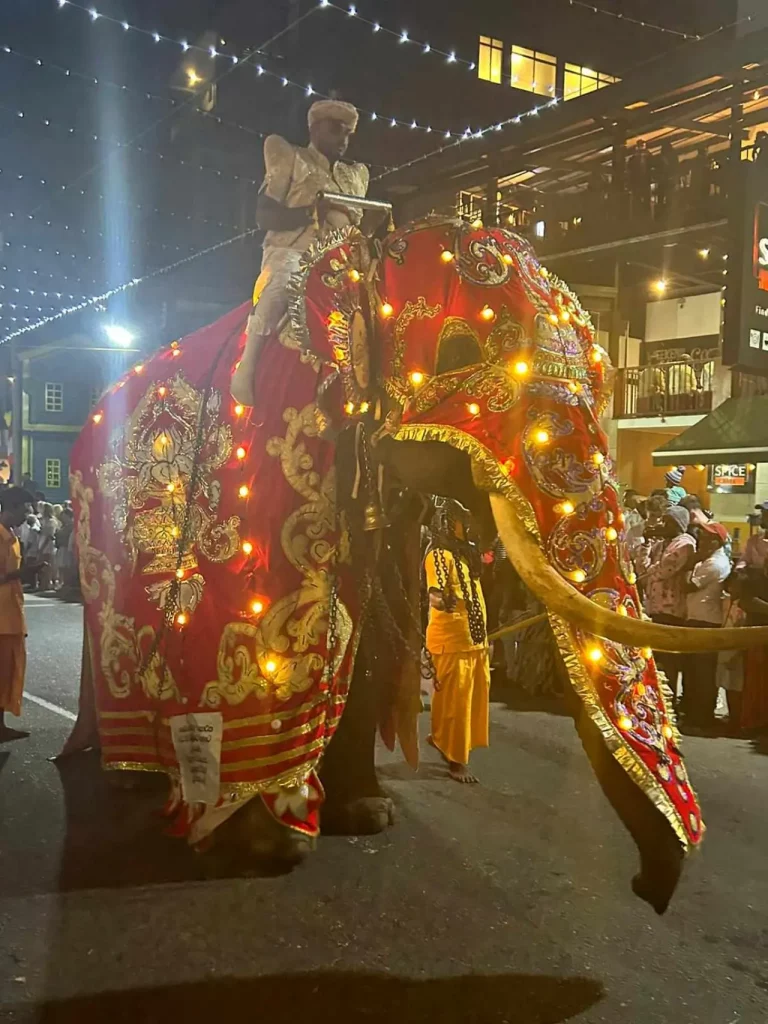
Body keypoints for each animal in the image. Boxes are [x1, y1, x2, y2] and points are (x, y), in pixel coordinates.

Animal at [70, 216, 768, 913]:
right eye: (457, 356)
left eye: (602, 382)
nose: (648, 888)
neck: (366, 256)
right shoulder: (273, 465)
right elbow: (276, 651)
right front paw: (273, 846)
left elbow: (371, 643)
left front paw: (367, 816)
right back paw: (119, 773)